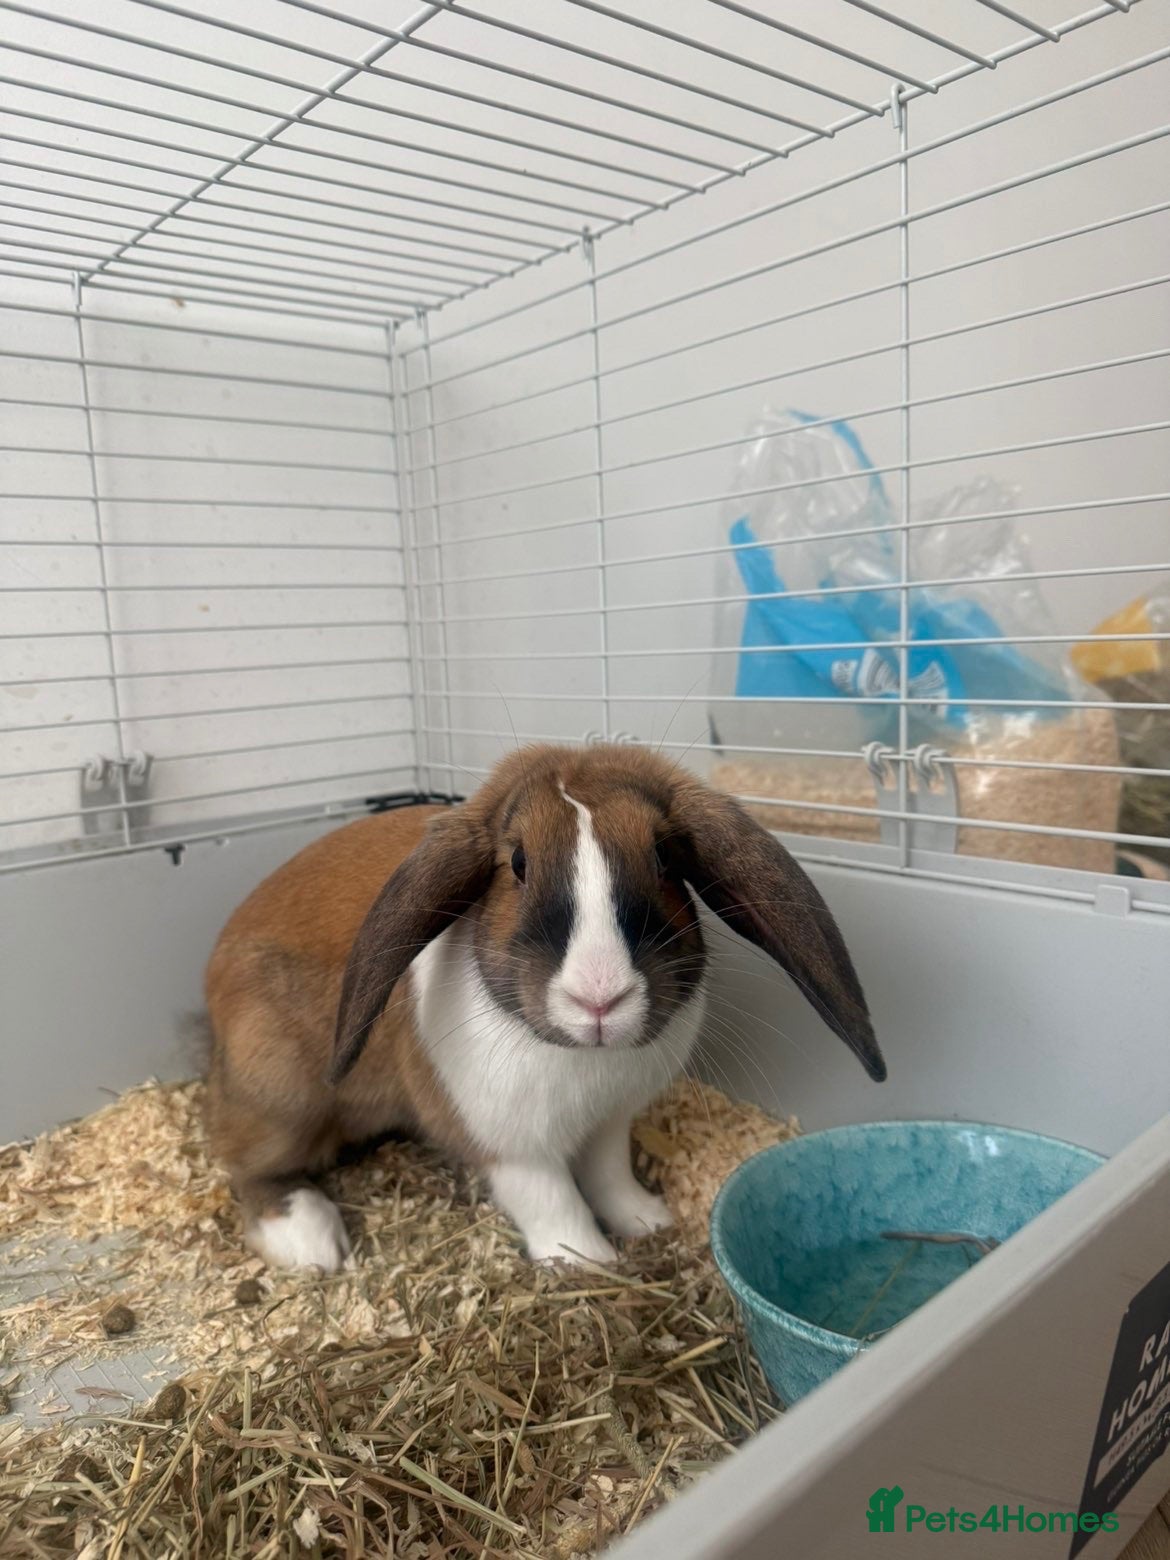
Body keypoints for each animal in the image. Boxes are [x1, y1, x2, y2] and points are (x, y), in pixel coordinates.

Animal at [204, 742, 884, 1271]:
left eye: (665, 857)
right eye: (517, 863)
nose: (600, 995)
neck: (589, 1062)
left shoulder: (610, 1124)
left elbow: (609, 1175)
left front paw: (649, 1220)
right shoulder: (511, 1145)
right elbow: (552, 1201)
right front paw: (591, 1263)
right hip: (281, 1092)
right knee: (246, 1166)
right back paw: (310, 1241)